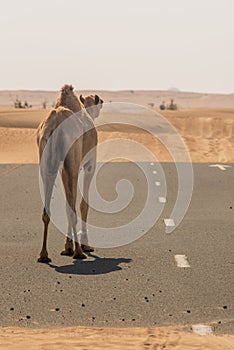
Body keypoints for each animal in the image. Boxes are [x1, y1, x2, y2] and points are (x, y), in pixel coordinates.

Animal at [36, 83, 103, 262]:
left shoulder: (62, 170)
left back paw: (43, 254)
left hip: (47, 165)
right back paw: (79, 251)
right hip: (72, 162)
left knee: (48, 209)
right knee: (73, 208)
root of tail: (54, 126)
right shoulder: (89, 164)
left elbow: (67, 204)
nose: (102, 102)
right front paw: (85, 245)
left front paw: (67, 246)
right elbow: (83, 204)